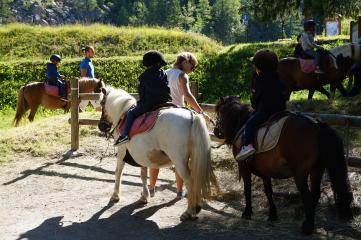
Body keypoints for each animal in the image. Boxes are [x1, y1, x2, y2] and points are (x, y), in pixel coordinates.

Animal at [97, 87, 218, 220]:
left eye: (102, 103)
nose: (101, 126)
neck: (123, 113)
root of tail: (192, 116)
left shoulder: (121, 151)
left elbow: (118, 172)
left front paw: (115, 196)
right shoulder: (142, 155)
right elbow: (143, 175)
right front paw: (144, 197)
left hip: (179, 161)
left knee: (189, 181)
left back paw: (189, 211)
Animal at [214, 96, 352, 234]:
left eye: (219, 113)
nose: (215, 131)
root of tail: (317, 126)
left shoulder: (243, 167)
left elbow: (247, 188)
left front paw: (247, 212)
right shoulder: (265, 171)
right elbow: (268, 191)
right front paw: (272, 214)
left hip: (300, 174)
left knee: (307, 197)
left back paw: (307, 227)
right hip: (317, 170)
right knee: (315, 195)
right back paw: (309, 224)